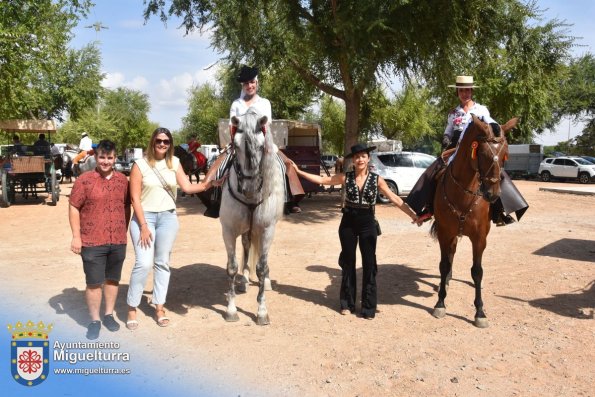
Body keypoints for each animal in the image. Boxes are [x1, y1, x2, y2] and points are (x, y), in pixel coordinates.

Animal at [221, 106, 286, 324]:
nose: (249, 188)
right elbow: (232, 267)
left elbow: (262, 267)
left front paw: (262, 311)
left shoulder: (267, 229)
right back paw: (244, 280)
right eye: (236, 146)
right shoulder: (228, 230)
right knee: (247, 245)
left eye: (261, 146)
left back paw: (266, 282)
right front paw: (231, 309)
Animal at [430, 114, 520, 328]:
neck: (464, 194)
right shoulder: (445, 233)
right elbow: (443, 265)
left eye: (505, 154)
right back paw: (446, 280)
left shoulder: (480, 238)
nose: (492, 194)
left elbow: (477, 271)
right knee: (450, 255)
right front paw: (440, 303)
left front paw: (480, 312)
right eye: (483, 153)